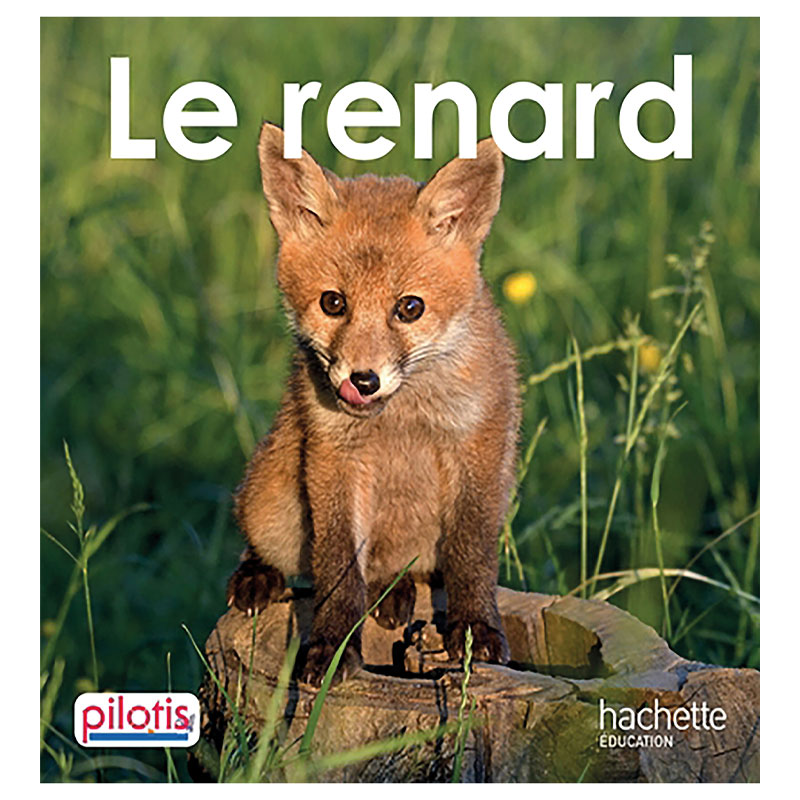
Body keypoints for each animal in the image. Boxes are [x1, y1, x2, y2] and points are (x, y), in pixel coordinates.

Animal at [226, 122, 521, 686]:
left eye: (410, 308)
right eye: (332, 303)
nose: (362, 381)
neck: (401, 420)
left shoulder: (476, 448)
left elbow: (472, 556)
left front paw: (475, 632)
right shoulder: (335, 459)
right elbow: (339, 570)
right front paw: (332, 647)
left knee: (407, 573)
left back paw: (395, 591)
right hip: (273, 500)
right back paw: (259, 573)